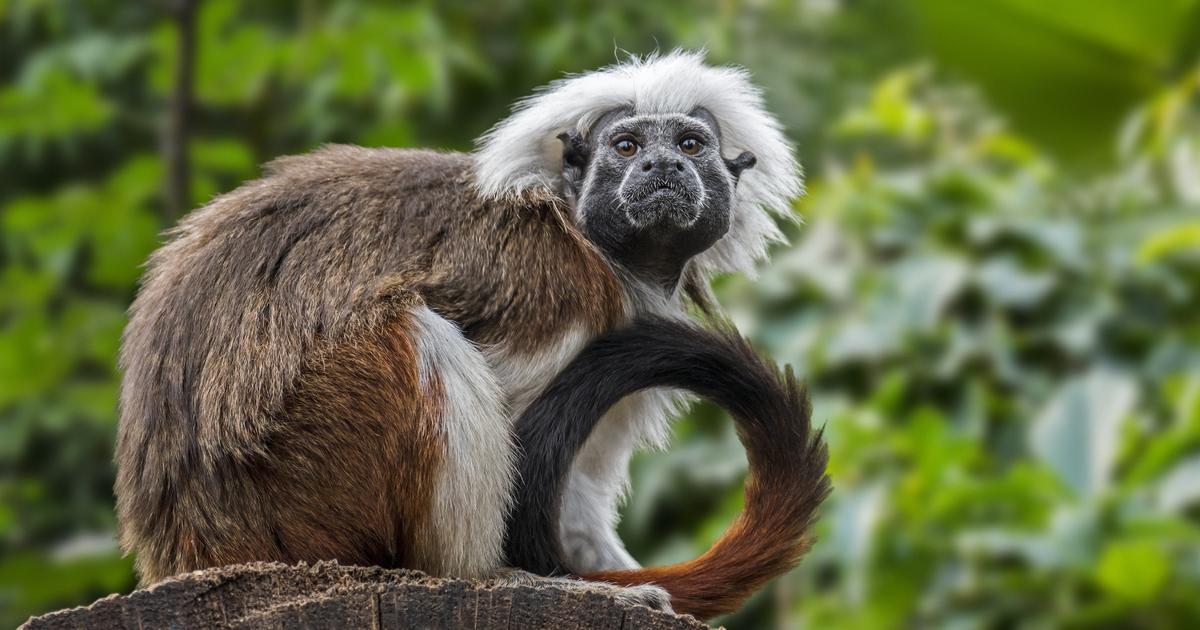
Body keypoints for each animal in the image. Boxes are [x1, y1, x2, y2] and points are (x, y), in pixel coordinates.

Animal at [114, 50, 825, 619]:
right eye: (626, 147)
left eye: (689, 146)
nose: (659, 166)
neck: (594, 241)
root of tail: (192, 547)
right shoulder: (556, 286)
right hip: (300, 488)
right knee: (417, 335)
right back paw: (488, 576)